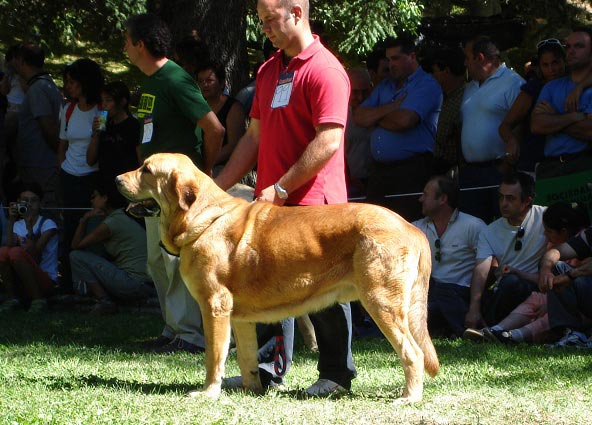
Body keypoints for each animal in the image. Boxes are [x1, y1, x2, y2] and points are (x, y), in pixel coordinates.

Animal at [117, 152, 440, 400]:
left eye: (146, 170)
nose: (117, 179)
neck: (203, 218)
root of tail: (411, 227)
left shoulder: (214, 307)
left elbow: (214, 357)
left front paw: (209, 392)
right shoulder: (240, 319)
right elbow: (246, 358)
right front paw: (250, 390)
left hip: (381, 303)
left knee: (413, 353)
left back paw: (409, 397)